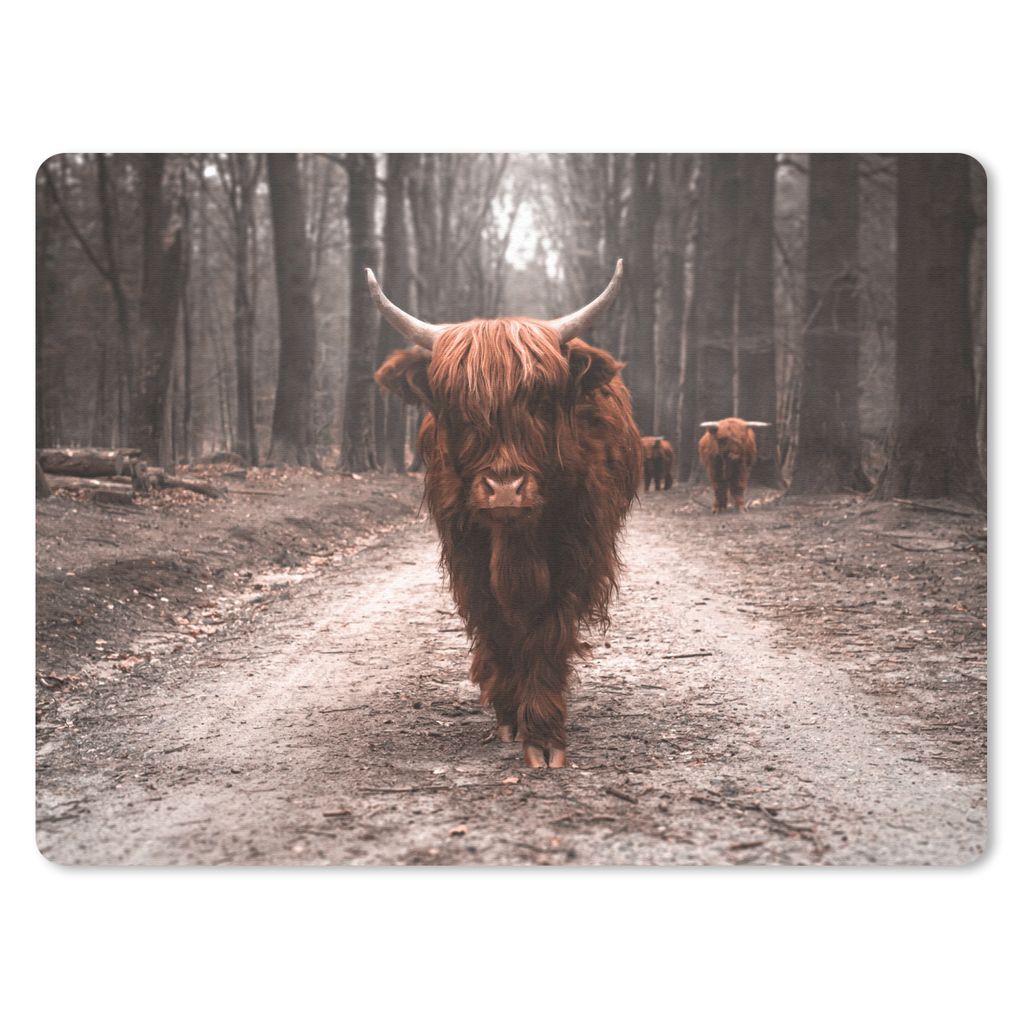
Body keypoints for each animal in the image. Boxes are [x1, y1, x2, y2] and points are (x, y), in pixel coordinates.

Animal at [371, 261, 642, 768]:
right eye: (456, 406)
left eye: (540, 399)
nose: (504, 491)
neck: (515, 542)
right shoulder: (468, 557)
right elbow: (496, 625)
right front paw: (509, 715)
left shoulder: (575, 553)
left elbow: (547, 631)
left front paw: (543, 734)